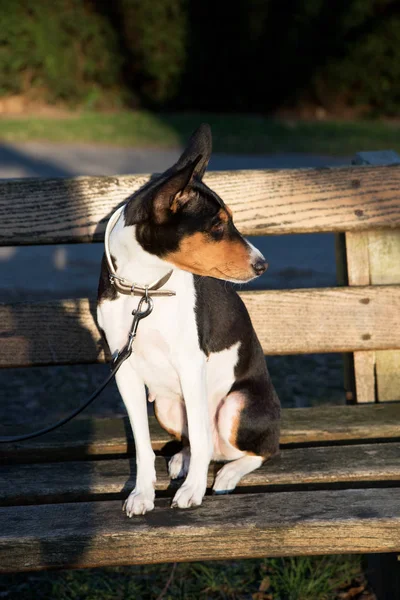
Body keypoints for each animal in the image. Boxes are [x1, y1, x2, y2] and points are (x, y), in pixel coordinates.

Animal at [97, 123, 280, 516]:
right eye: (217, 226)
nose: (263, 265)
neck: (144, 289)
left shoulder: (190, 362)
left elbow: (198, 433)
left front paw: (193, 491)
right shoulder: (124, 367)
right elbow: (142, 444)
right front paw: (143, 493)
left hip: (235, 406)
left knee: (256, 448)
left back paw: (226, 473)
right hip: (166, 405)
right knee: (199, 442)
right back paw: (184, 459)